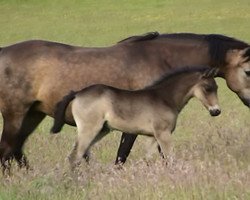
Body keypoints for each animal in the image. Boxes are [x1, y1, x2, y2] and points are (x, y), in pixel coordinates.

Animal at [51, 66, 221, 168]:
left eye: (217, 87)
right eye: (207, 88)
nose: (216, 111)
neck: (164, 98)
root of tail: (77, 93)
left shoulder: (153, 137)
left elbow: (150, 158)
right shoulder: (163, 134)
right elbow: (169, 158)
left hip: (101, 131)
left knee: (81, 155)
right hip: (89, 130)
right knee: (75, 157)